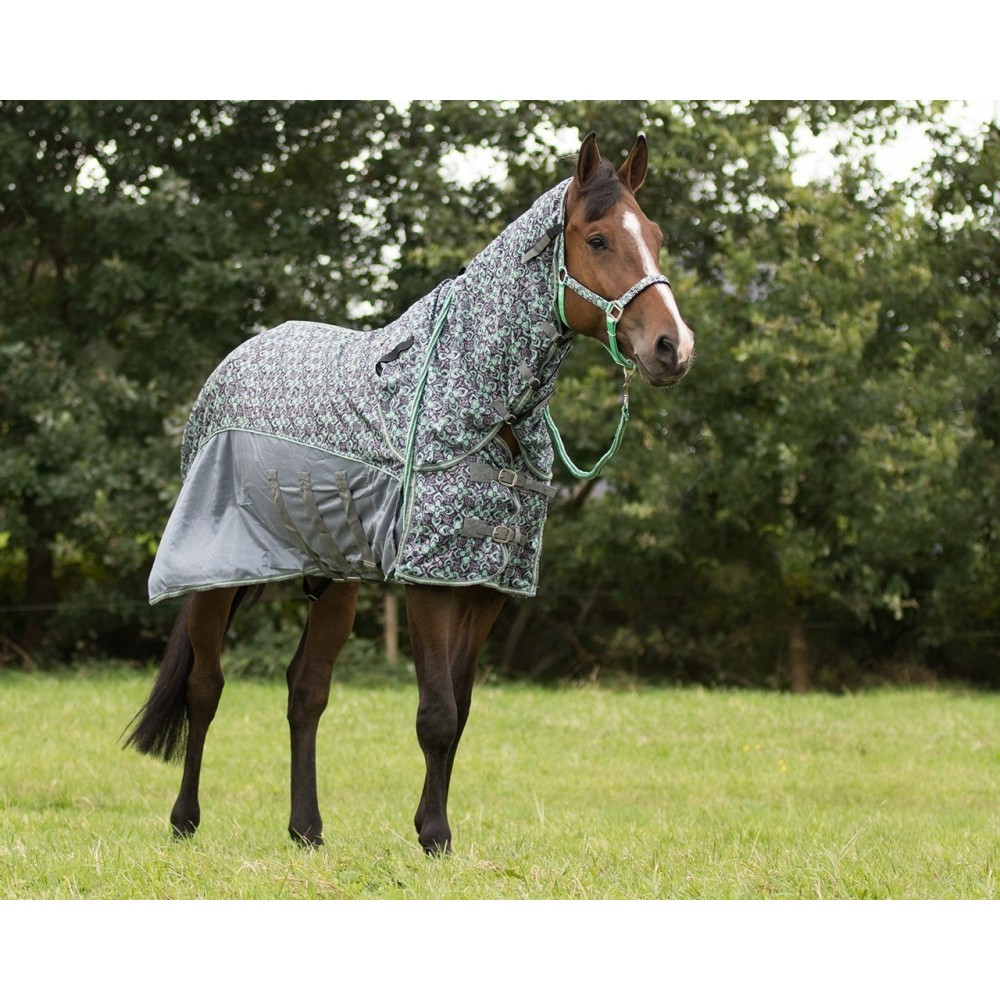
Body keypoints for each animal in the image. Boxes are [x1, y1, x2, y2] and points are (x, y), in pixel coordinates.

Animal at [124, 132, 695, 854]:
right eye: (596, 239)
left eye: (654, 235)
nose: (673, 347)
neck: (493, 413)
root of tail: (235, 361)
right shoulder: (430, 585)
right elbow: (437, 713)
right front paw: (434, 837)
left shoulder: (483, 589)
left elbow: (461, 709)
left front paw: (434, 829)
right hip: (214, 571)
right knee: (205, 685)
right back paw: (185, 820)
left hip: (334, 575)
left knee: (306, 689)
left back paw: (306, 829)